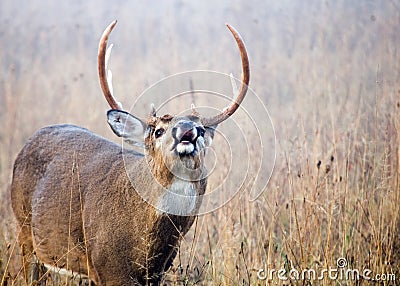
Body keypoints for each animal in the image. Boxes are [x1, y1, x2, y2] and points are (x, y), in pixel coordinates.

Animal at [10, 19, 250, 284]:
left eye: (202, 129)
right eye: (158, 131)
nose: (187, 130)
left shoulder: (157, 271)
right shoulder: (107, 268)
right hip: (24, 231)